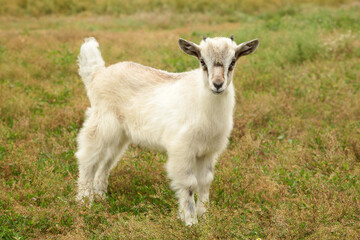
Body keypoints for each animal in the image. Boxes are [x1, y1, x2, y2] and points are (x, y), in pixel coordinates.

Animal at [76, 35, 258, 225]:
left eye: (233, 62)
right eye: (202, 61)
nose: (217, 84)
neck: (201, 100)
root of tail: (98, 74)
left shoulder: (208, 151)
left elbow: (205, 181)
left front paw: (205, 216)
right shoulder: (182, 149)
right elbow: (189, 184)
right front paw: (190, 221)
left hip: (120, 135)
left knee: (106, 161)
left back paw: (100, 196)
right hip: (101, 123)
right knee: (88, 158)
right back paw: (84, 202)